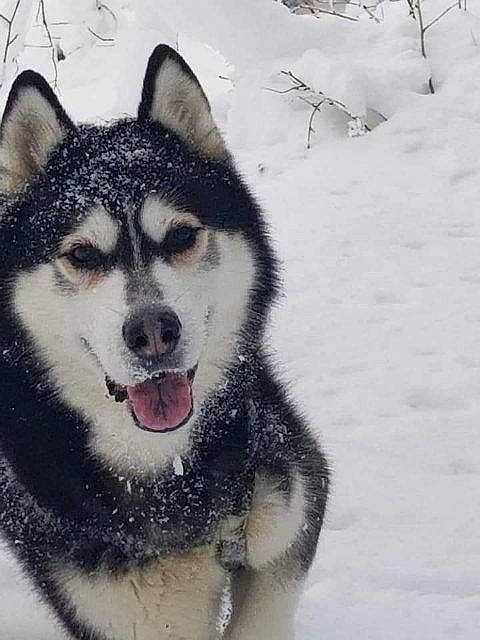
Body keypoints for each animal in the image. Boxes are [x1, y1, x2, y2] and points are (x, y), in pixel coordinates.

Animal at [0, 44, 329, 640]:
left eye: (180, 236)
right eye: (82, 254)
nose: (153, 332)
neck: (170, 471)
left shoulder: (290, 494)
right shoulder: (120, 610)